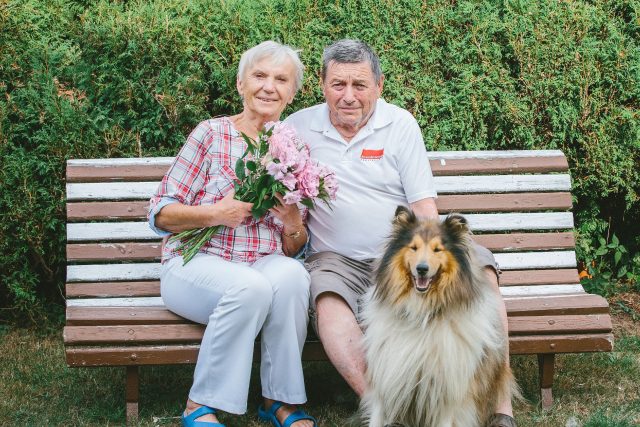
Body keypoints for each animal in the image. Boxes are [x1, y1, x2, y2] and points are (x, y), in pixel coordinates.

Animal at [362, 206, 516, 424]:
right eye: (414, 247)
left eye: (437, 249)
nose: (422, 269)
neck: (422, 313)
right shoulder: (387, 381)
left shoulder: (448, 395)